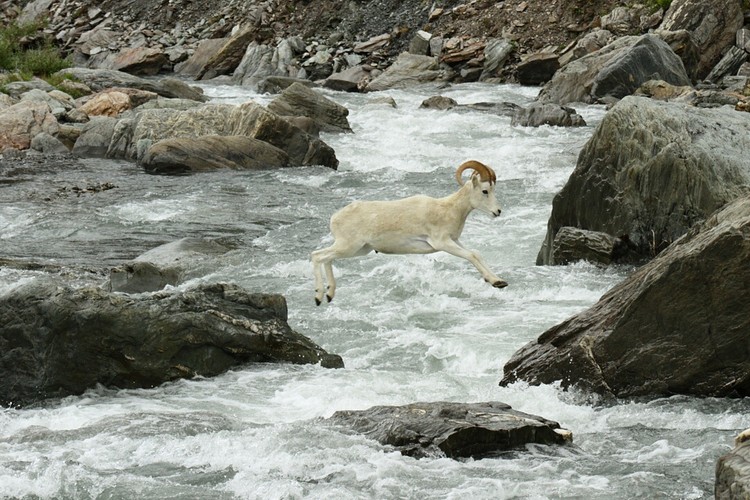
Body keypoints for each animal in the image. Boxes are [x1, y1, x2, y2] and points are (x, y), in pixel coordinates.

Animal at [311, 160, 508, 305]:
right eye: (485, 191)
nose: (497, 211)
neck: (448, 209)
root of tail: (335, 218)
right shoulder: (443, 243)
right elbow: (471, 256)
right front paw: (495, 281)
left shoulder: (455, 241)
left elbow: (476, 254)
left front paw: (498, 282)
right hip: (349, 247)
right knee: (318, 256)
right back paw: (319, 296)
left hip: (359, 250)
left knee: (327, 258)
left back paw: (329, 295)